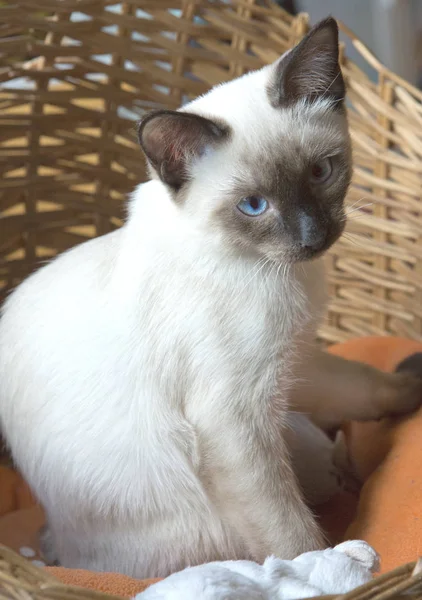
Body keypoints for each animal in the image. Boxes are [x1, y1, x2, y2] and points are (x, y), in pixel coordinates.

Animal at [0, 18, 422, 580]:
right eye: (254, 206)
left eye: (320, 173)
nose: (312, 237)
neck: (280, 274)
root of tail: (54, 544)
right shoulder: (234, 420)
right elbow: (291, 533)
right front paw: (329, 568)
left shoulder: (294, 361)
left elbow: (364, 386)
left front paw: (412, 388)